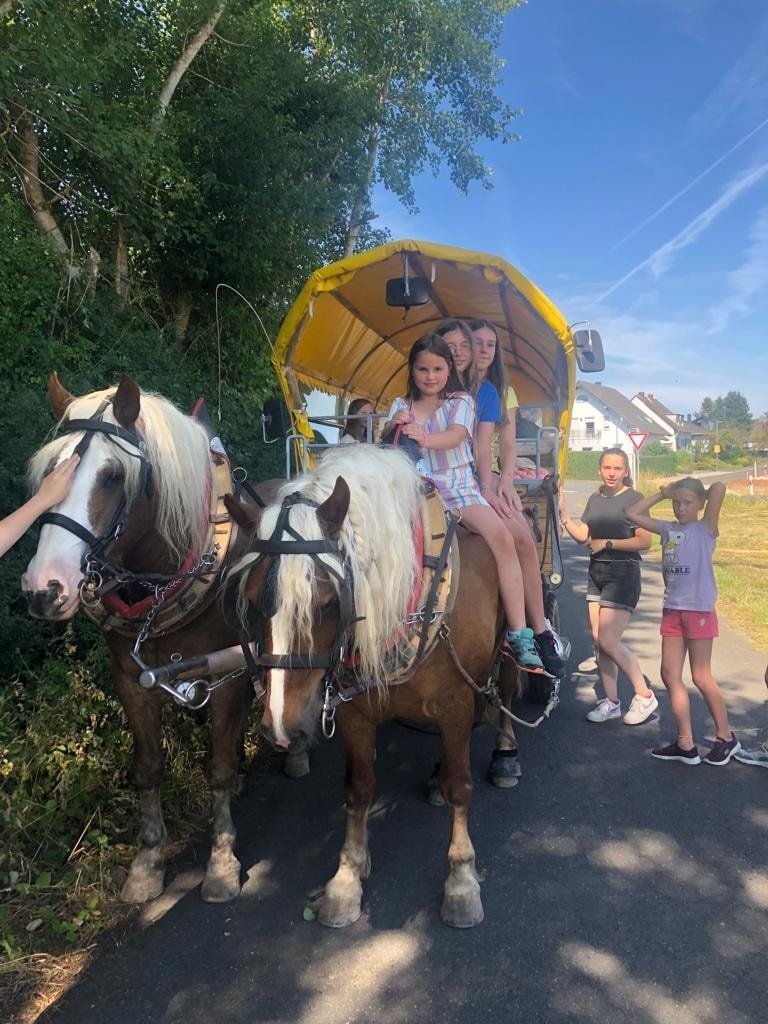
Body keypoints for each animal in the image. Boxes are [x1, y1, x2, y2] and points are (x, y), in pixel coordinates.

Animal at [22, 372, 279, 904]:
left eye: (112, 476)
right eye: (50, 474)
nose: (45, 588)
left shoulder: (226, 676)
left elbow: (217, 766)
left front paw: (221, 862)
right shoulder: (131, 679)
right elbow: (148, 767)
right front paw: (147, 861)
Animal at [228, 443, 510, 928]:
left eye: (326, 602)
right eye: (252, 601)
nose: (281, 728)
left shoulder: (456, 702)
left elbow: (460, 785)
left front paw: (461, 880)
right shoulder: (352, 711)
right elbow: (358, 788)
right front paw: (347, 877)